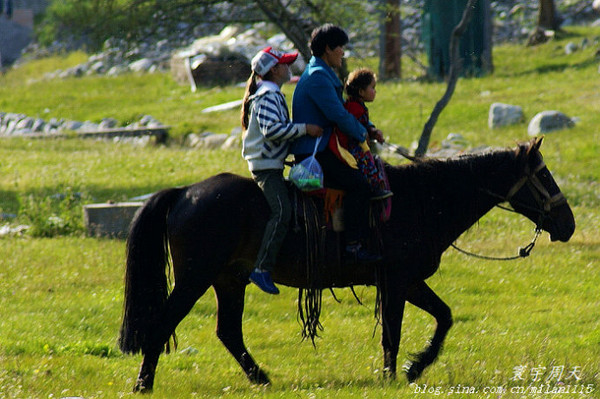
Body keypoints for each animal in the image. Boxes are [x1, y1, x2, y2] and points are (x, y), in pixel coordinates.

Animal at [119, 136, 576, 392]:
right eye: (544, 176)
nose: (568, 224)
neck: (422, 200)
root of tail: (184, 193)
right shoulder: (396, 282)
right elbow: (393, 332)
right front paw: (393, 376)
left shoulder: (408, 281)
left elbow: (443, 317)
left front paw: (414, 368)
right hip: (195, 278)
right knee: (163, 324)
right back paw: (143, 384)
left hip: (229, 280)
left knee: (228, 331)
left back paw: (261, 378)